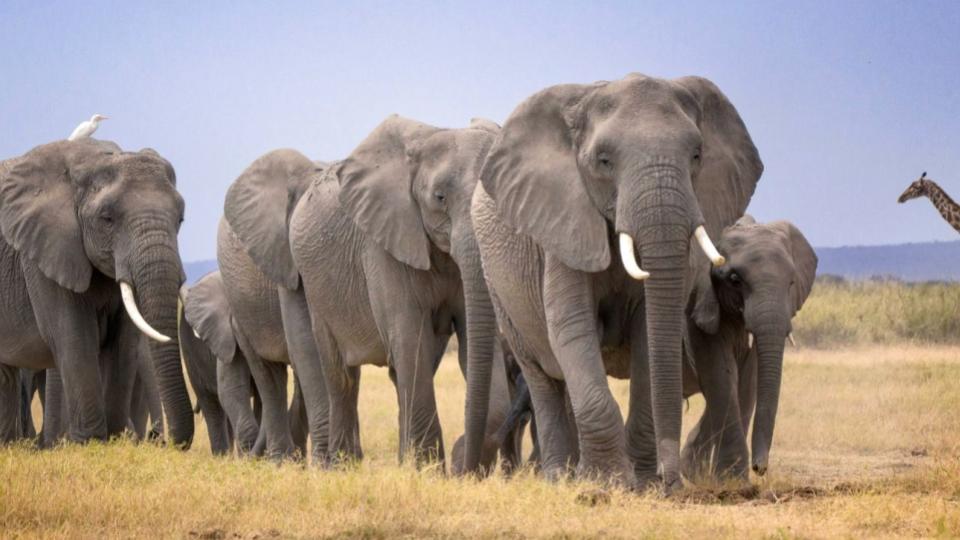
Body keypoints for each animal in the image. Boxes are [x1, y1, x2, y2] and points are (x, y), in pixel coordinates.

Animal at [0, 139, 193, 446]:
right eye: (107, 218)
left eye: (181, 219)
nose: (163, 439)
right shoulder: (44, 253)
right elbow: (75, 336)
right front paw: (90, 443)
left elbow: (123, 344)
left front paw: (113, 441)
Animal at [181, 270, 307, 457]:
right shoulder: (227, 335)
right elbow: (231, 389)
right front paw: (247, 457)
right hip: (190, 351)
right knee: (211, 405)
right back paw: (222, 456)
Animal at [287, 115, 504, 471]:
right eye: (440, 197)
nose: (463, 464)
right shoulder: (383, 243)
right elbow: (408, 338)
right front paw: (430, 472)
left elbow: (475, 340)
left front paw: (438, 467)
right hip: (315, 286)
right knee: (342, 376)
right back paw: (343, 467)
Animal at [471, 73, 763, 490]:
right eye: (604, 161)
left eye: (696, 155)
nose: (671, 483)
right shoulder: (563, 220)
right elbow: (573, 326)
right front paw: (606, 483)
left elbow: (648, 333)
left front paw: (641, 485)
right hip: (500, 289)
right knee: (543, 376)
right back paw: (560, 478)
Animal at [682, 215, 817, 481]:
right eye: (735, 280)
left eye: (791, 282)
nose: (760, 468)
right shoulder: (700, 309)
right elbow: (722, 375)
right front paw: (732, 479)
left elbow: (747, 380)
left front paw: (724, 478)